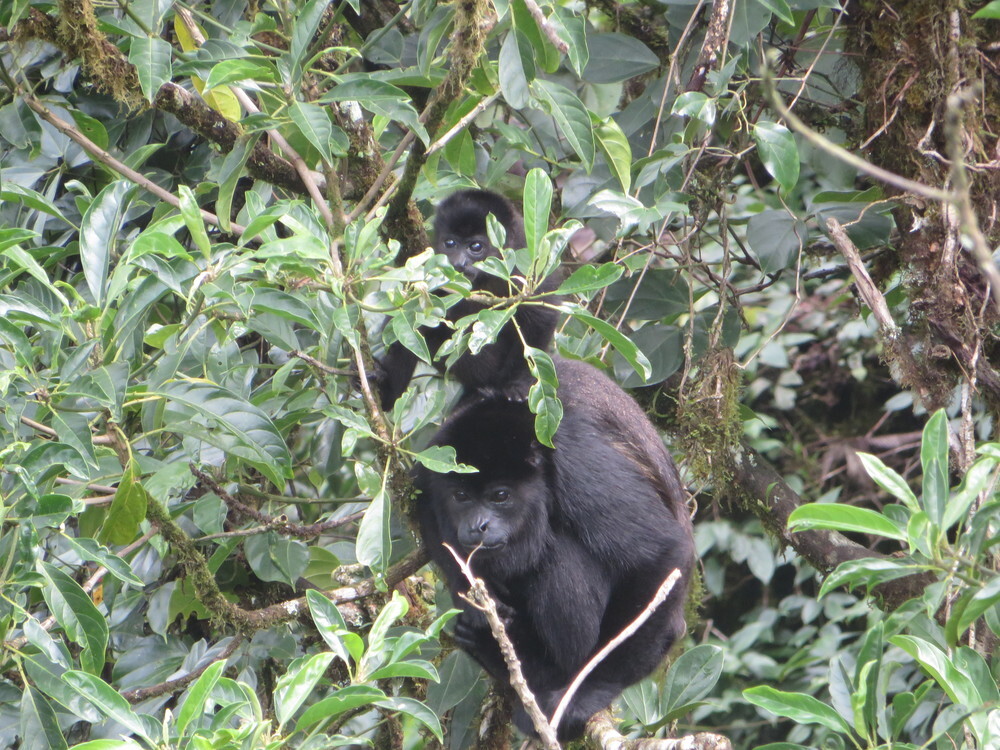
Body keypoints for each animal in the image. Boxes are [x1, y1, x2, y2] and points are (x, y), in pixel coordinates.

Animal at [376, 191, 564, 408]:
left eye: (475, 246)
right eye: (450, 244)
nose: (459, 263)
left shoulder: (527, 267)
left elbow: (541, 318)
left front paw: (516, 383)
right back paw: (387, 393)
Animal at [414, 356, 696, 740]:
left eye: (500, 496)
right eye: (460, 496)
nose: (477, 525)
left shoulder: (575, 458)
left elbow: (659, 554)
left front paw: (587, 693)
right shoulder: (433, 459)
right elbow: (429, 519)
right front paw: (474, 598)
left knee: (560, 556)